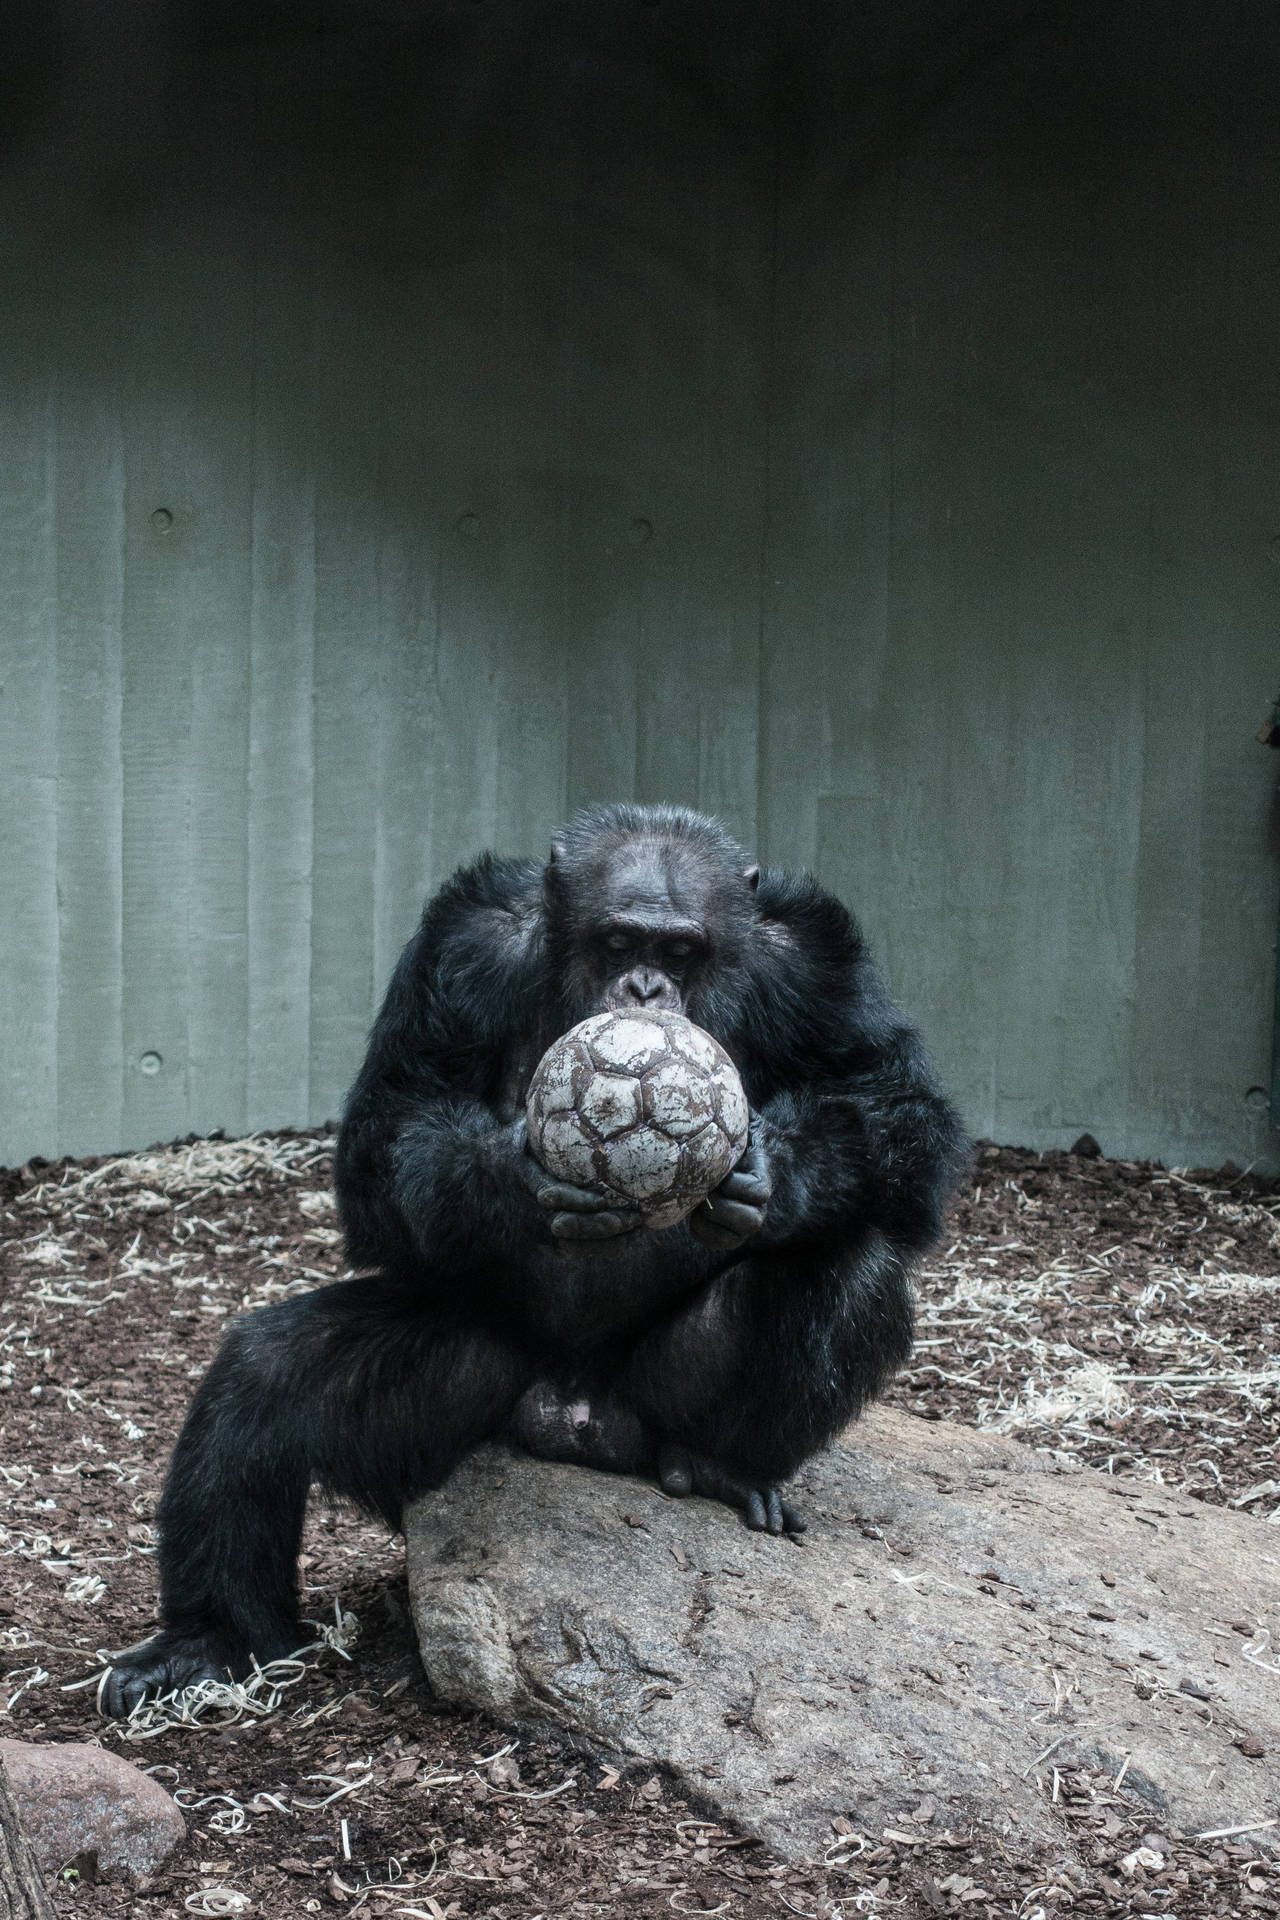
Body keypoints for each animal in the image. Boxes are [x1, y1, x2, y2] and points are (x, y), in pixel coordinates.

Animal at [100, 798, 967, 1712]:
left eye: (680, 951)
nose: (646, 990)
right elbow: (392, 1121)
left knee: (847, 1270)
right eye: (619, 943)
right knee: (261, 1386)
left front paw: (772, 1171)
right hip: (472, 1383)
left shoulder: (820, 965)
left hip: (653, 1397)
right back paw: (207, 1642)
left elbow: (897, 1104)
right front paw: (510, 1178)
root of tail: (573, 1414)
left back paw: (720, 1465)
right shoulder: (457, 947)